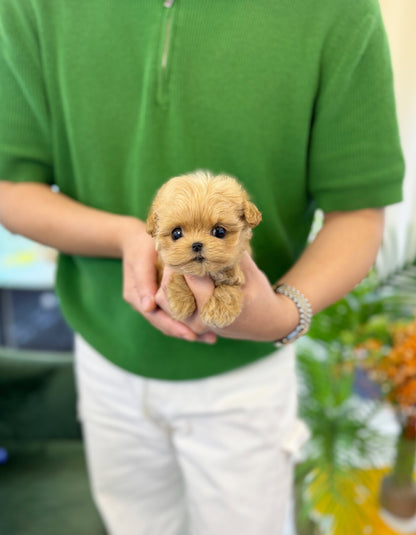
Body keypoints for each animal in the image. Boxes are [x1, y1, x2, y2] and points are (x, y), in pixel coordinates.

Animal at [146, 170, 262, 328]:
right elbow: (178, 271)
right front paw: (181, 302)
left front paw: (218, 312)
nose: (196, 245)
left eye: (219, 231)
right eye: (176, 233)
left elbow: (229, 288)